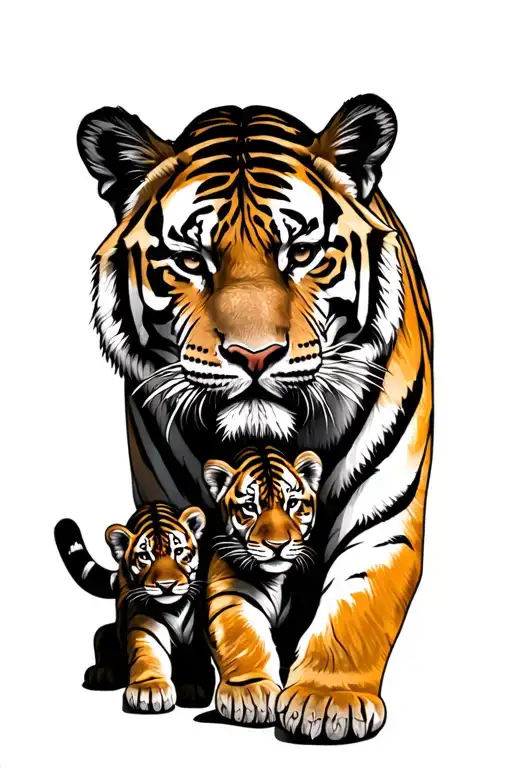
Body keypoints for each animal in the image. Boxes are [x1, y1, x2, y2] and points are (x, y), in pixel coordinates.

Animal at [55, 503, 215, 713]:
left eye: (179, 552)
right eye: (145, 557)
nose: (167, 585)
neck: (174, 607)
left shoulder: (198, 631)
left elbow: (198, 655)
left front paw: (194, 685)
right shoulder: (143, 621)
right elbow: (148, 653)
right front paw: (150, 690)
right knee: (101, 634)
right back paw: (102, 672)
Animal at [203, 446, 323, 725]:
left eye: (292, 503)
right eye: (250, 507)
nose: (277, 545)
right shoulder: (232, 594)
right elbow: (246, 638)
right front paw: (251, 693)